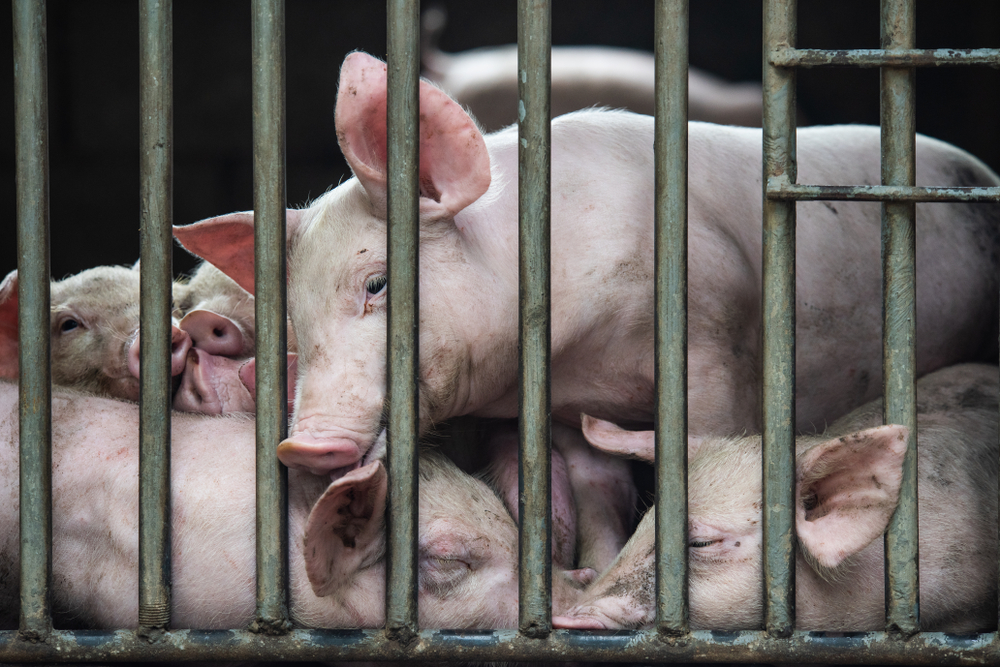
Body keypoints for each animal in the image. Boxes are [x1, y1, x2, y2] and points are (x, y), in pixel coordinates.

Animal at [172, 52, 999, 480]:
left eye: (377, 282)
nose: (301, 443)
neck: (571, 359)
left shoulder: (717, 320)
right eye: (293, 314)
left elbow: (709, 436)